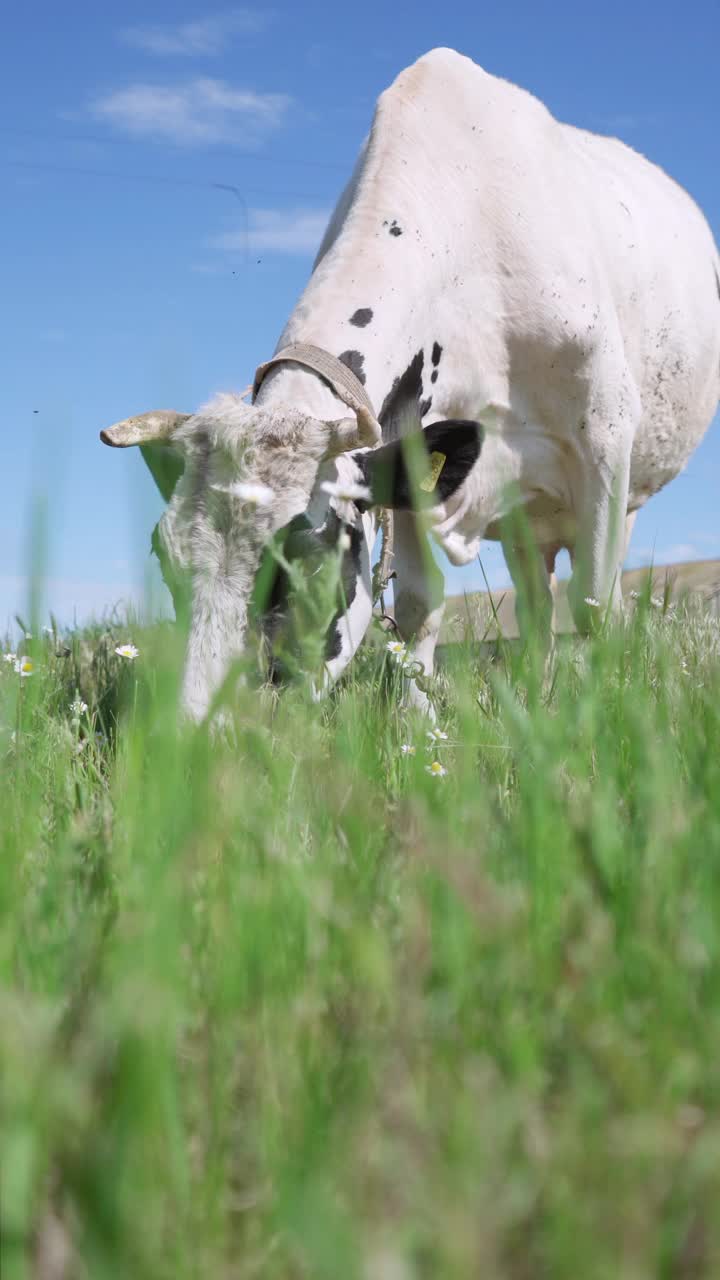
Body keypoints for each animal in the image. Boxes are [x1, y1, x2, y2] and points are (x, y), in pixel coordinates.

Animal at [99, 47, 717, 721]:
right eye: (165, 559)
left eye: (307, 561)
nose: (198, 734)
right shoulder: (414, 454)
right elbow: (422, 609)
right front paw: (417, 724)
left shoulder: (602, 441)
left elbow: (594, 605)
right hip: (526, 518)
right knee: (533, 604)